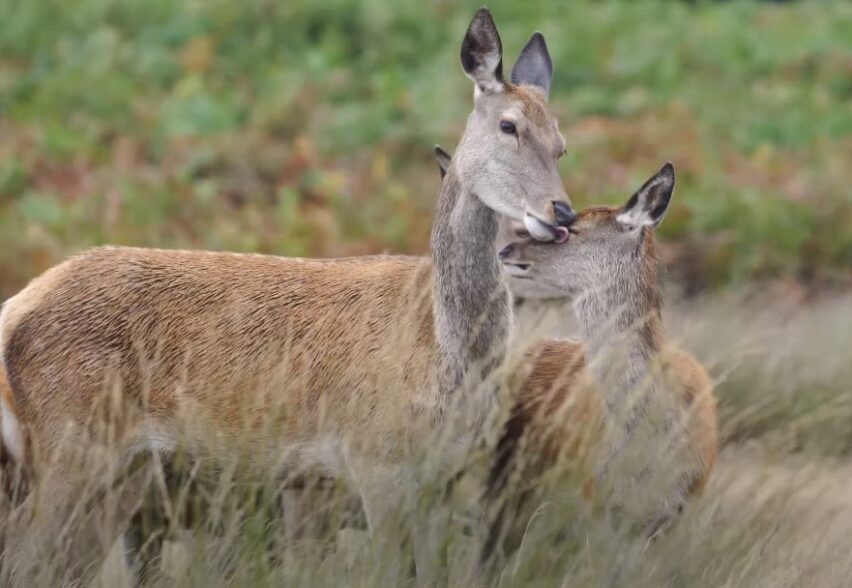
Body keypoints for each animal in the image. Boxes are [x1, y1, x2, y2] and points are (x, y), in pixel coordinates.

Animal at [1, 8, 572, 584]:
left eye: (561, 143)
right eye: (508, 126)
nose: (561, 212)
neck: (442, 354)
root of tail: (15, 307)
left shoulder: (443, 479)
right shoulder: (377, 460)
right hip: (70, 444)